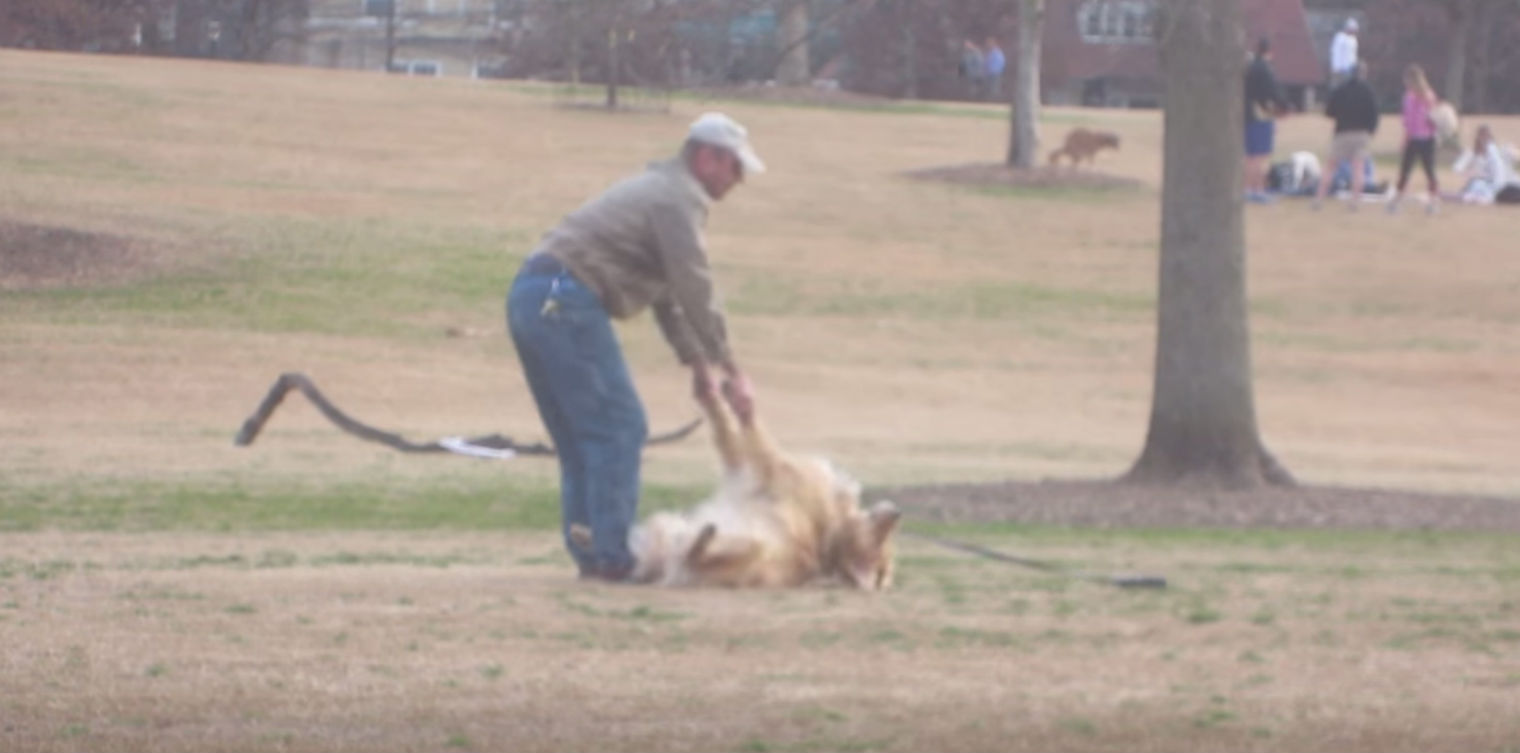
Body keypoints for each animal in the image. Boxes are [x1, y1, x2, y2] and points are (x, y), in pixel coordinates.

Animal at [574, 389, 893, 590]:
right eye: (883, 542)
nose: (897, 513)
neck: (828, 536)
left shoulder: (766, 467)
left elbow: (739, 428)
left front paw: (721, 397)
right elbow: (731, 430)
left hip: (745, 546)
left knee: (690, 551)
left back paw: (702, 537)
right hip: (667, 529)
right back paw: (584, 533)